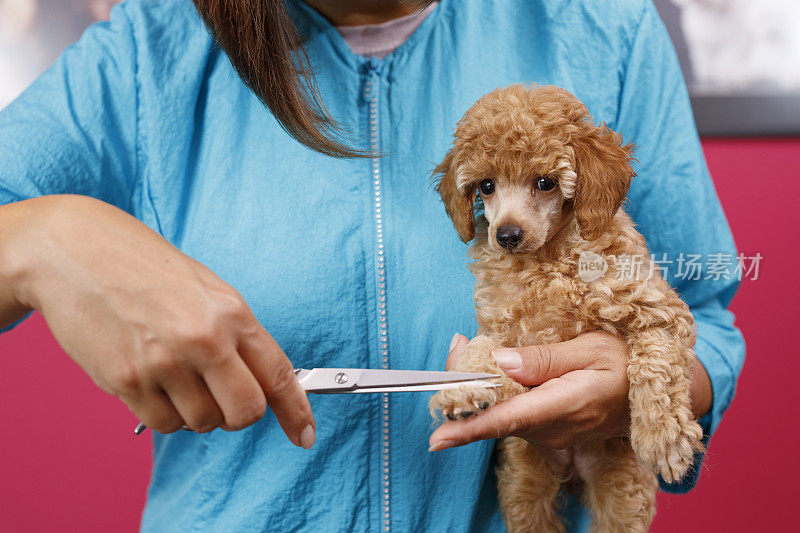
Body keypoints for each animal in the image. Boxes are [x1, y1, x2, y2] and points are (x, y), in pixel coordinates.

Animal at [432, 85, 700, 528]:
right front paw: (463, 388)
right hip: (525, 481)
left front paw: (663, 436)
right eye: (486, 186)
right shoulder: (501, 329)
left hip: (622, 487)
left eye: (545, 183)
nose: (506, 235)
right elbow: (477, 349)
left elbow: (655, 363)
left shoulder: (660, 309)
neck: (546, 261)